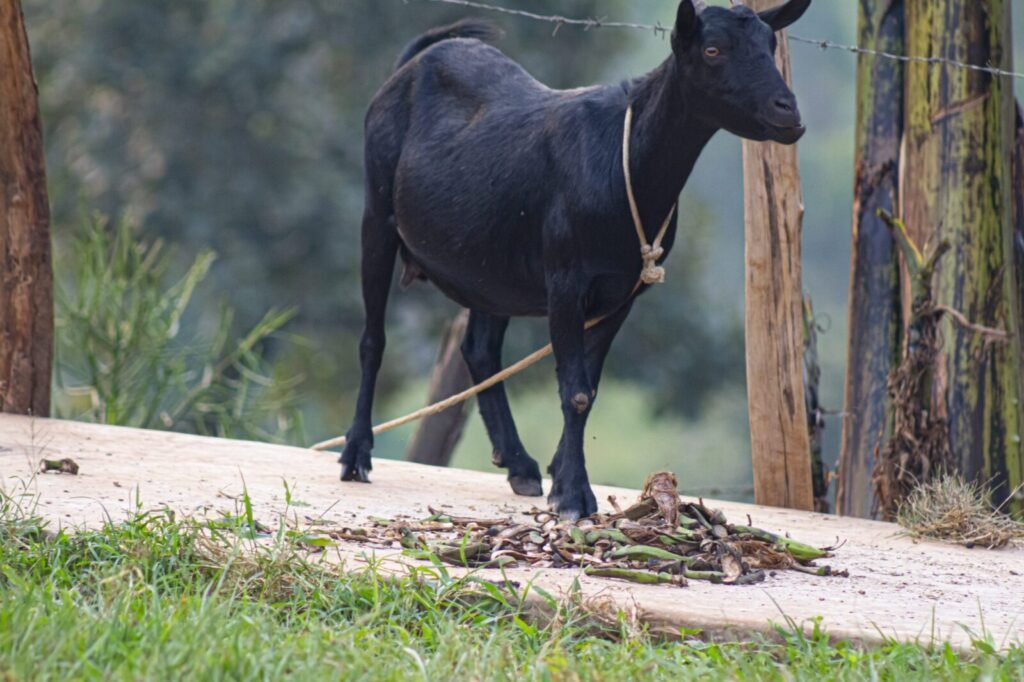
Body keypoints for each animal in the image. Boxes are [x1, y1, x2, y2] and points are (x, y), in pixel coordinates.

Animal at [340, 0, 812, 520]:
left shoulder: (622, 292)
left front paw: (560, 476)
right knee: (373, 339)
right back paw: (356, 455)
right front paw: (573, 496)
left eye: (770, 44)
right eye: (712, 49)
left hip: (489, 265)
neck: (625, 162)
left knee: (479, 349)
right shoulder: (566, 281)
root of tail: (414, 62)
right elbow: (577, 392)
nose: (788, 112)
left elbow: (591, 387)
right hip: (376, 212)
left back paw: (520, 465)